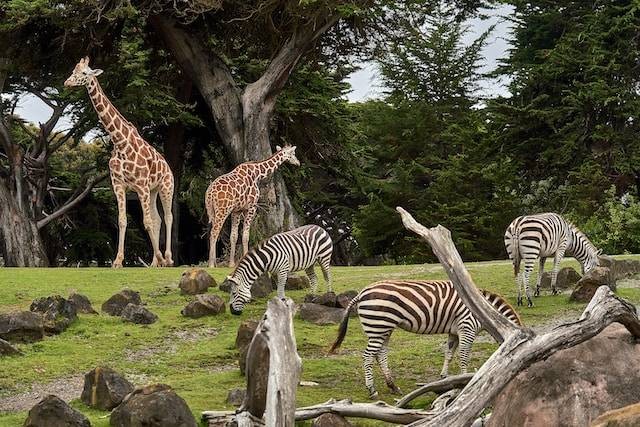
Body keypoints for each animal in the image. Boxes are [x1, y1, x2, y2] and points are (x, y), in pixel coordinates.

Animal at [63, 57, 174, 268]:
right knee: (157, 219)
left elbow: (147, 222)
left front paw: (160, 257)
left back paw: (168, 258)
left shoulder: (141, 186)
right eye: (73, 70)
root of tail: (168, 167)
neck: (120, 142)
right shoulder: (119, 185)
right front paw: (117, 261)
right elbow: (123, 220)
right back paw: (155, 262)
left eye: (84, 73)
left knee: (168, 217)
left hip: (166, 186)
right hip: (153, 190)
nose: (67, 83)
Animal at [330, 280, 520, 400]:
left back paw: (393, 386)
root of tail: (362, 292)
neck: (485, 312)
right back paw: (372, 390)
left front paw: (444, 377)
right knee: (368, 356)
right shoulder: (467, 328)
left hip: (383, 328)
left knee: (380, 354)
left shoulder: (454, 332)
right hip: (378, 325)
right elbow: (463, 357)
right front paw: (466, 380)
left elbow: (449, 353)